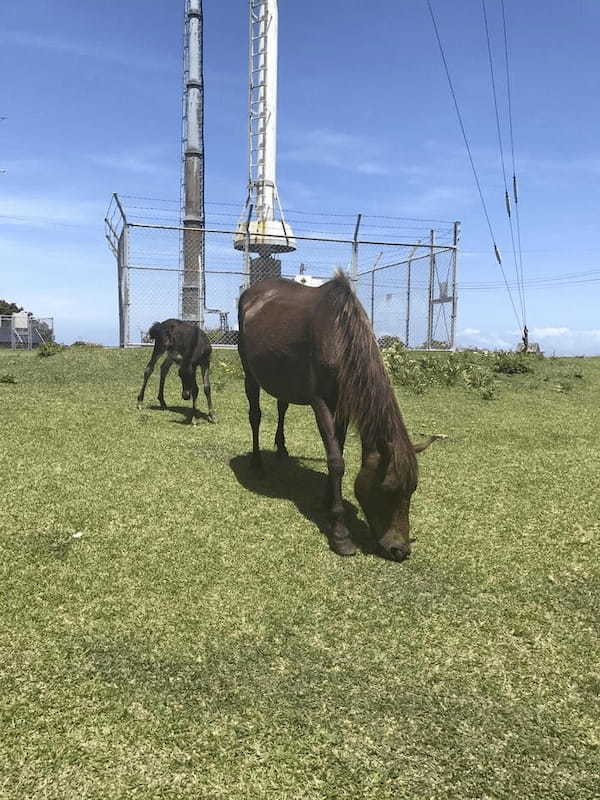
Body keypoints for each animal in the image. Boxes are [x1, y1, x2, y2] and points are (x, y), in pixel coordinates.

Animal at [236, 272, 436, 560]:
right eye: (387, 489)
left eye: (413, 489)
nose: (400, 550)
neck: (340, 338)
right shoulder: (320, 402)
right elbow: (336, 461)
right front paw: (340, 532)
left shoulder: (343, 405)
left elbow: (337, 448)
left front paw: (327, 498)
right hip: (250, 373)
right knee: (255, 415)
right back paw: (256, 462)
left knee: (282, 407)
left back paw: (282, 449)